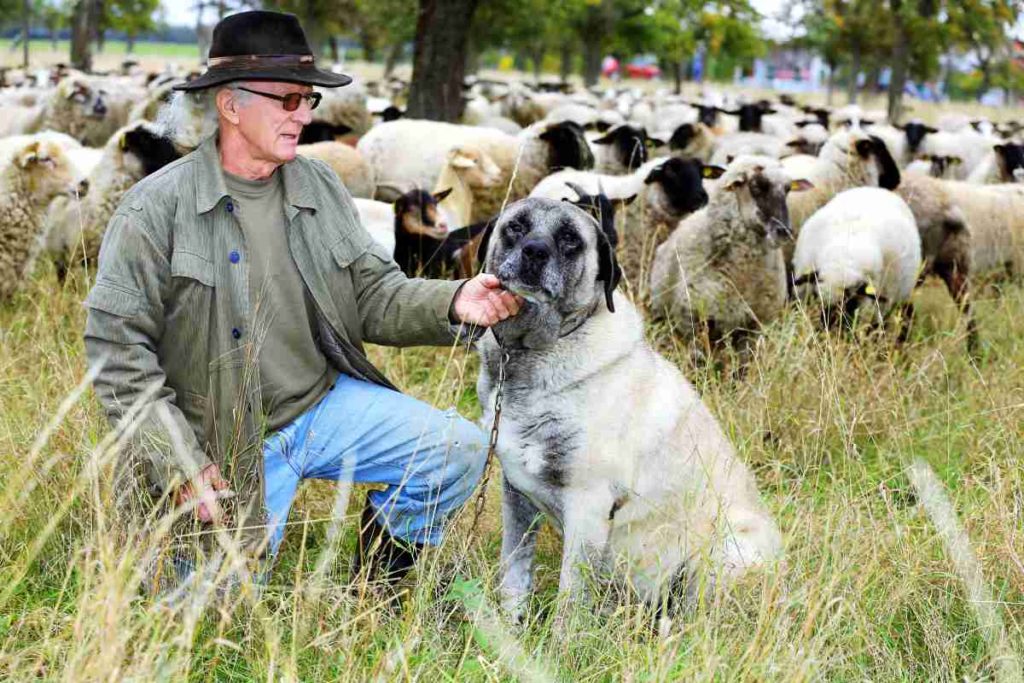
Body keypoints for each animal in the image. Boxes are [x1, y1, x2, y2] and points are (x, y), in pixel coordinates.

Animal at [479, 197, 782, 618]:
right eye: (516, 227)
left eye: (570, 239)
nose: (535, 251)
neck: (530, 353)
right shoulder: (516, 496)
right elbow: (514, 571)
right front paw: (510, 623)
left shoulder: (588, 506)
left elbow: (570, 600)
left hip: (728, 554)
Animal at [651, 157, 811, 350]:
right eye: (756, 187)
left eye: (787, 190)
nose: (784, 231)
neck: (743, 276)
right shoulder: (692, 322)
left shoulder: (756, 324)